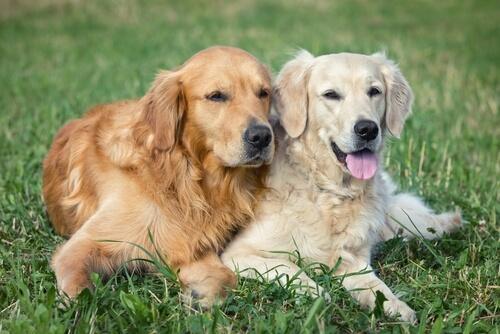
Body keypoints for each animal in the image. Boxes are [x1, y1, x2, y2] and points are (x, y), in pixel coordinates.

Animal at [223, 51, 460, 322]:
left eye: (374, 91)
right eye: (331, 94)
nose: (367, 129)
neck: (329, 192)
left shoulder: (353, 259)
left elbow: (375, 285)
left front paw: (397, 306)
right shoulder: (236, 254)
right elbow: (286, 265)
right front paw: (314, 291)